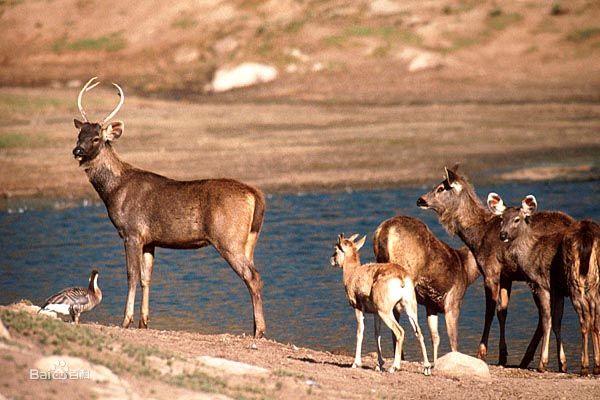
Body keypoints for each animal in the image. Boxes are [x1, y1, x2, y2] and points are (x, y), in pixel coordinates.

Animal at [71, 77, 268, 338]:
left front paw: (126, 321)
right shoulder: (150, 240)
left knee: (253, 277)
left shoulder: (132, 232)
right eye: (79, 134)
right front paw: (144, 321)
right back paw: (256, 327)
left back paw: (259, 331)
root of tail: (255, 195)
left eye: (96, 138)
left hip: (228, 238)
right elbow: (147, 278)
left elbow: (132, 275)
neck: (113, 190)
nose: (77, 151)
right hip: (249, 241)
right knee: (255, 275)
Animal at [328, 234, 432, 376]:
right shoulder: (375, 313)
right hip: (410, 309)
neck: (353, 274)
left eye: (336, 249)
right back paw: (426, 368)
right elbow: (377, 334)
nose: (331, 260)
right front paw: (379, 365)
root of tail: (401, 278)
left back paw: (394, 367)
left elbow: (360, 331)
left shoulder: (358, 308)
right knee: (418, 332)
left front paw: (356, 363)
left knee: (399, 331)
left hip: (386, 312)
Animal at [372, 214, 480, 364]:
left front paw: (435, 362)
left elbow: (435, 337)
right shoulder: (454, 300)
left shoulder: (431, 305)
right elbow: (453, 340)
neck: (467, 273)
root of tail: (385, 230)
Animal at [418, 166, 572, 372]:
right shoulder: (507, 275)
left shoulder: (490, 269)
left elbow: (489, 311)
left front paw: (482, 352)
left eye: (441, 188)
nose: (420, 200)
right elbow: (502, 311)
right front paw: (502, 355)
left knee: (545, 316)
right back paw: (533, 359)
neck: (477, 237)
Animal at [488, 194, 600, 376]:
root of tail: (587, 236)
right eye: (501, 219)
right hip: (593, 281)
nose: (503, 234)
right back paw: (596, 366)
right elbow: (557, 322)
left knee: (585, 319)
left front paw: (543, 363)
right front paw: (563, 364)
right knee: (596, 317)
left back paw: (584, 367)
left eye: (517, 219)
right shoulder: (558, 290)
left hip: (576, 281)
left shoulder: (541, 284)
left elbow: (546, 320)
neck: (530, 253)